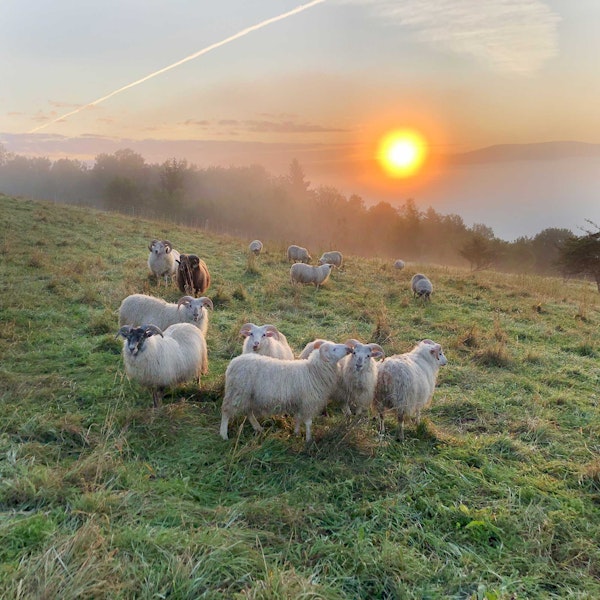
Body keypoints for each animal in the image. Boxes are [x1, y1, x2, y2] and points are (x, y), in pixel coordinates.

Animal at [220, 340, 352, 442]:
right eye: (334, 349)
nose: (349, 348)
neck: (313, 371)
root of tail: (232, 363)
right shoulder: (308, 402)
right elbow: (308, 422)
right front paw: (308, 440)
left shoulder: (299, 402)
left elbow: (298, 418)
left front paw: (296, 433)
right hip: (237, 392)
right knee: (226, 411)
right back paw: (224, 434)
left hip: (248, 395)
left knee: (248, 412)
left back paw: (258, 428)